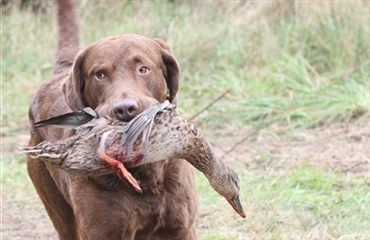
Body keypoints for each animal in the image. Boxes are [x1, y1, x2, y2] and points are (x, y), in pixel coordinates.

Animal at [27, 0, 198, 239]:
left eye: (143, 69)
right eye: (99, 74)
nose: (125, 109)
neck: (144, 177)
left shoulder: (180, 228)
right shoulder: (102, 231)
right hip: (58, 209)